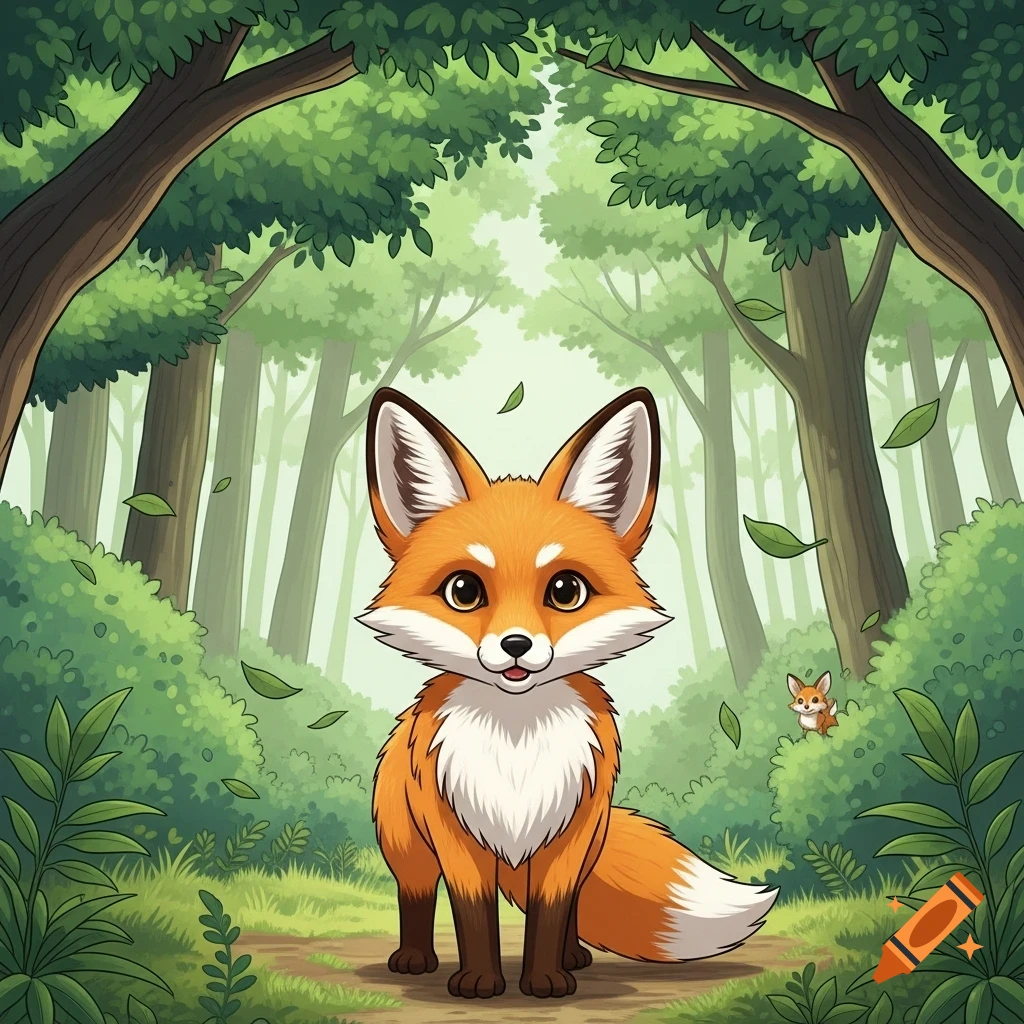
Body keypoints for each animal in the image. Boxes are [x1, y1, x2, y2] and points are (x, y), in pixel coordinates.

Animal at [357, 385, 779, 1001]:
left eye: (565, 590)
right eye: (464, 591)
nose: (515, 645)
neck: (515, 747)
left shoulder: (569, 835)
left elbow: (552, 911)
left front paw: (546, 979)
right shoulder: (457, 837)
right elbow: (474, 915)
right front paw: (480, 980)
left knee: (571, 906)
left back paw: (574, 957)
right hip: (407, 847)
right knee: (415, 897)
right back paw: (415, 959)